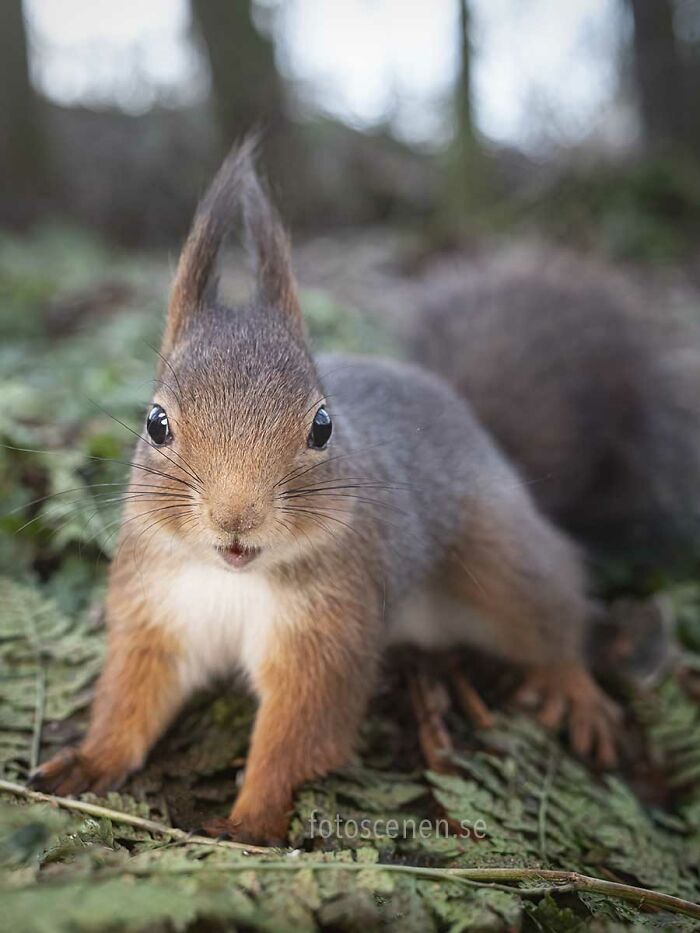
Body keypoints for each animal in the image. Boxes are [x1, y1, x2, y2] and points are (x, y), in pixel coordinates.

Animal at [30, 138, 621, 845]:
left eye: (322, 425)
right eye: (155, 422)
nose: (236, 517)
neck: (233, 578)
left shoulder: (328, 629)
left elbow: (301, 731)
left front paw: (251, 820)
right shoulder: (156, 609)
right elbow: (131, 694)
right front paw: (89, 759)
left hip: (498, 555)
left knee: (554, 599)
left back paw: (572, 687)